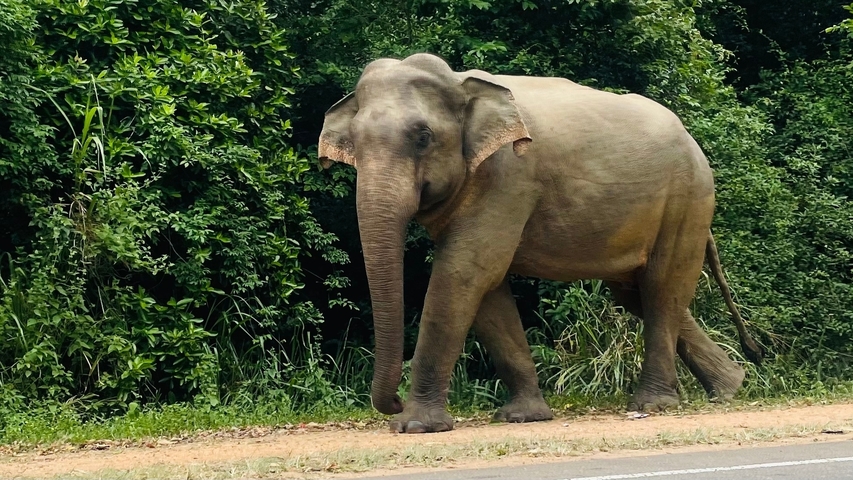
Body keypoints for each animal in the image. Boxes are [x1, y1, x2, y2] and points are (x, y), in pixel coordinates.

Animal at [317, 53, 763, 434]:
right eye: (354, 141)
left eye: (423, 136)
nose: (391, 402)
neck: (461, 82)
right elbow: (486, 288)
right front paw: (523, 417)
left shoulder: (510, 175)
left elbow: (463, 272)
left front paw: (415, 426)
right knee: (636, 293)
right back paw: (731, 387)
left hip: (688, 196)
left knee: (661, 286)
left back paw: (654, 404)